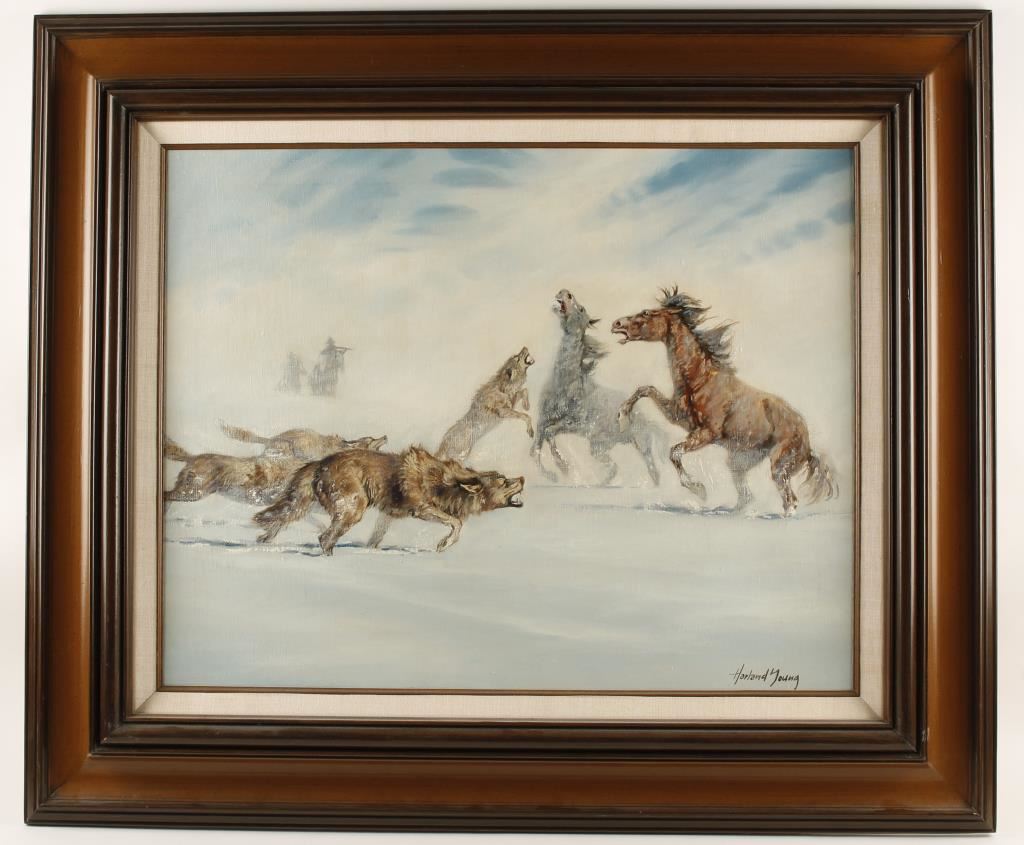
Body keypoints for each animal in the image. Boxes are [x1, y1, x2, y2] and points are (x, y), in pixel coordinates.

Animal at [253, 446, 524, 554]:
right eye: (504, 482)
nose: (522, 477)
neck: (446, 484)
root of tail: (320, 463)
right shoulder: (422, 509)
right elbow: (456, 523)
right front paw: (443, 544)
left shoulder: (389, 513)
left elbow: (375, 540)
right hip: (353, 507)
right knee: (324, 538)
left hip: (302, 506)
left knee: (276, 523)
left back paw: (262, 542)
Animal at [531, 289, 661, 485]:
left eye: (582, 309)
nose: (565, 292)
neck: (563, 386)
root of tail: (647, 420)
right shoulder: (542, 419)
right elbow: (536, 448)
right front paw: (552, 474)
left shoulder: (572, 424)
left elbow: (549, 434)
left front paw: (563, 467)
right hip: (600, 446)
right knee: (619, 468)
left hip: (622, 445)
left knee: (646, 470)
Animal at [611, 287, 837, 514]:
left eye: (647, 313)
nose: (616, 324)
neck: (700, 379)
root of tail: (808, 444)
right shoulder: (678, 416)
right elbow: (645, 389)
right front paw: (622, 419)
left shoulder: (706, 433)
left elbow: (674, 452)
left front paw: (698, 489)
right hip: (740, 461)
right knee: (747, 496)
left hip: (779, 466)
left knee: (789, 500)